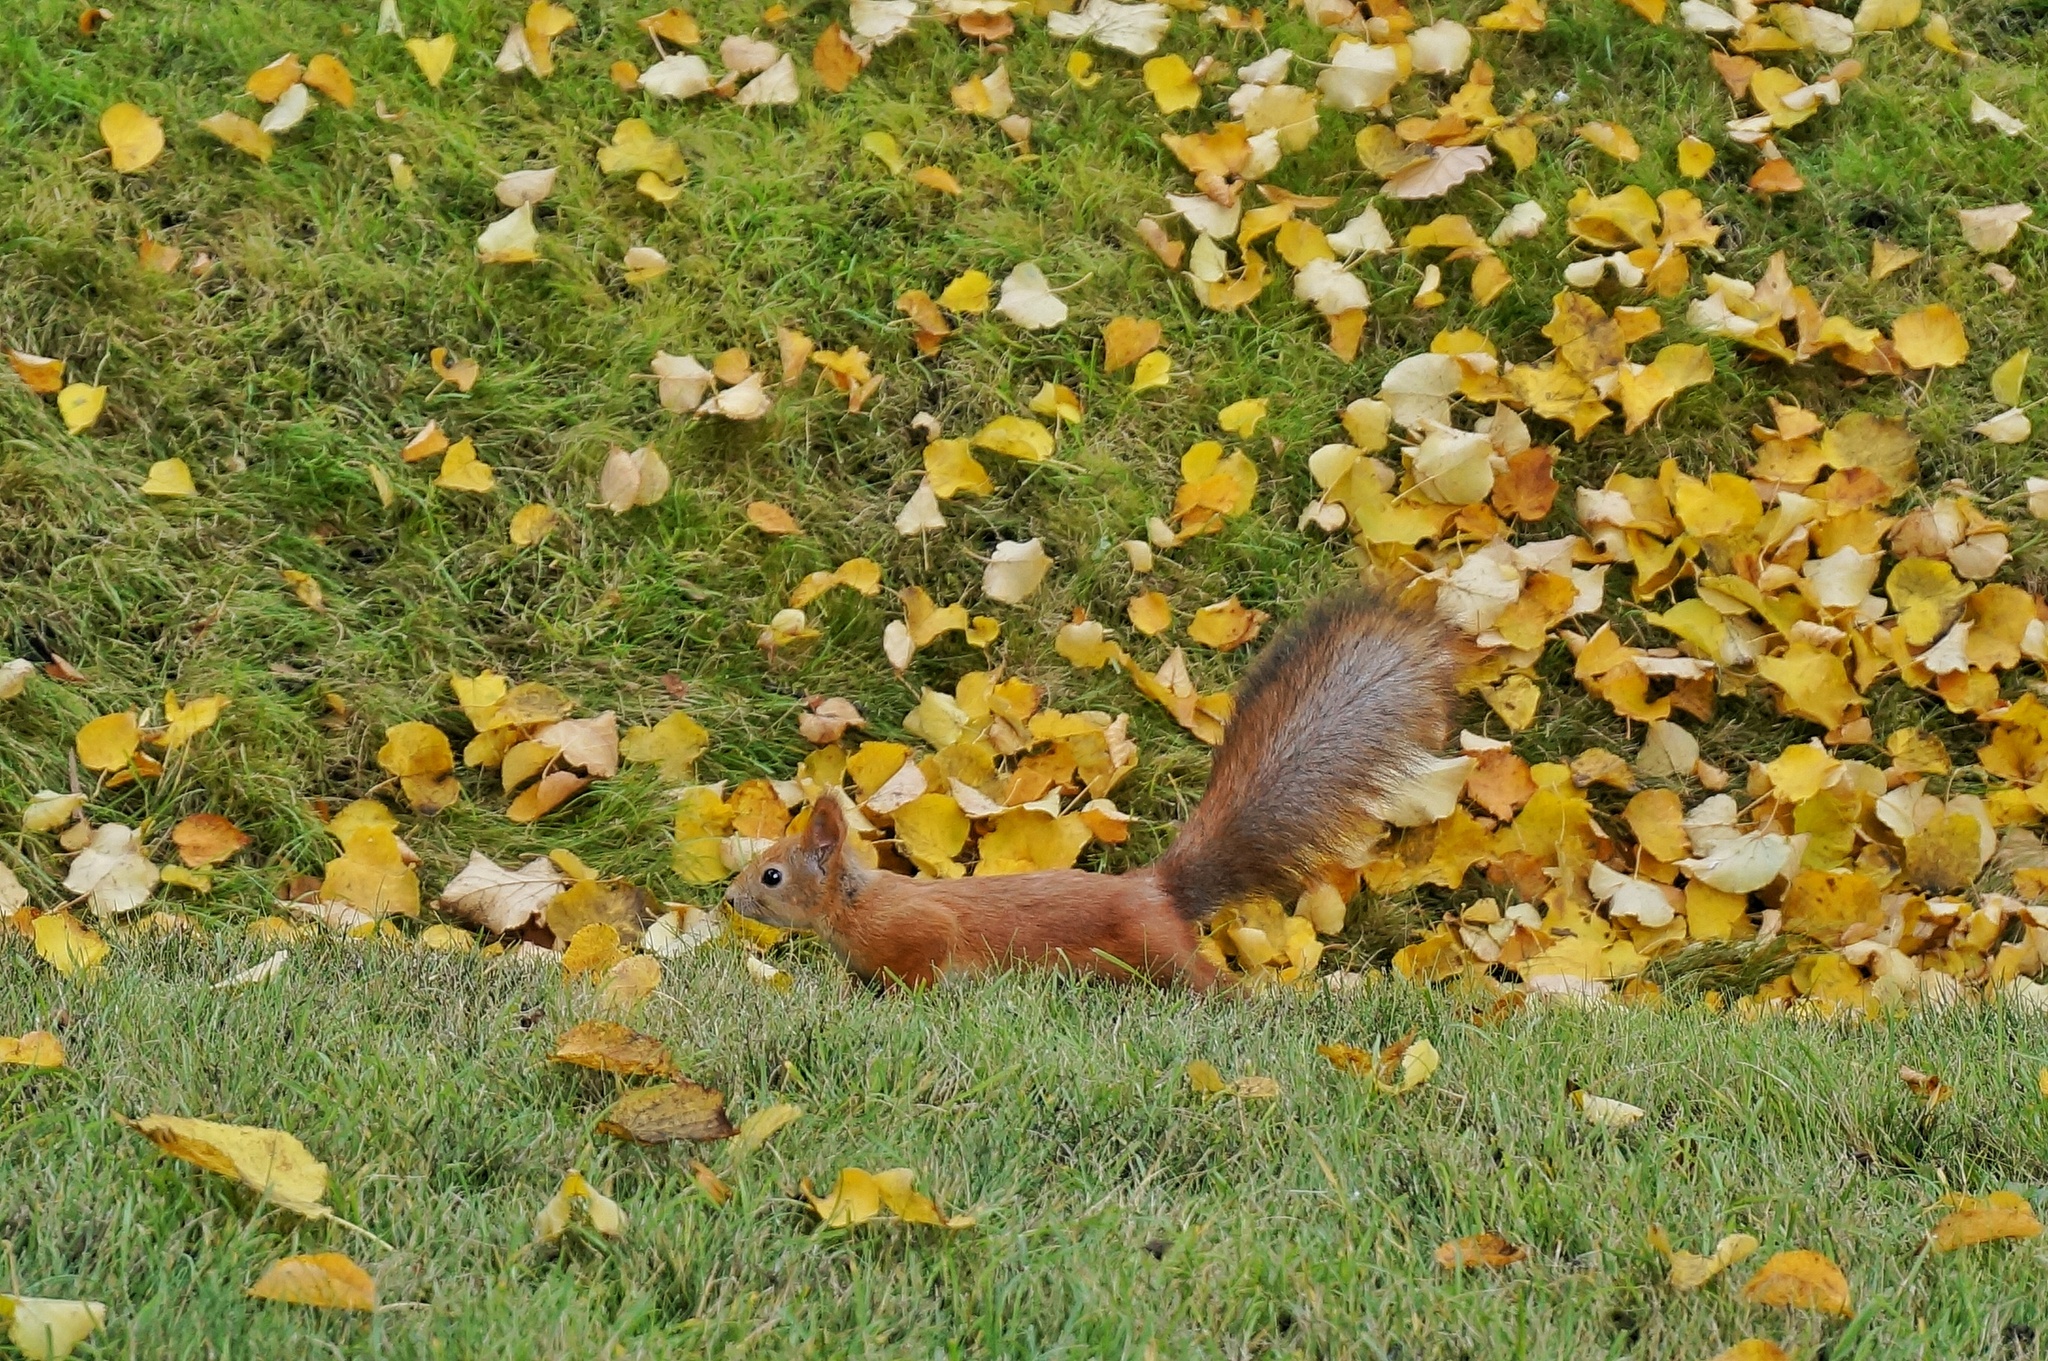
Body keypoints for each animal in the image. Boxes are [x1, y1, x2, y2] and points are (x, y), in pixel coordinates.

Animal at [720, 589, 1458, 994]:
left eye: (773, 873)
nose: (728, 899)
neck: (856, 904)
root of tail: (1154, 891)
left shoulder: (921, 933)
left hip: (1159, 953)